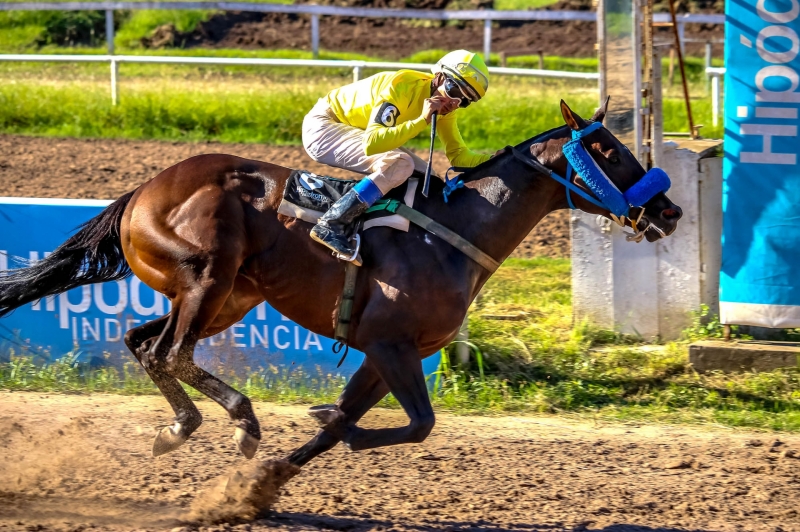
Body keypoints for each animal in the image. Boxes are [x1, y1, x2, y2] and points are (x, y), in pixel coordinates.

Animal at [0, 98, 680, 466]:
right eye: (610, 151)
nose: (669, 211)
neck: (452, 234)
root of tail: (142, 190)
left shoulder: (387, 354)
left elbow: (358, 427)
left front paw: (273, 477)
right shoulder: (390, 344)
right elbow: (419, 423)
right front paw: (325, 423)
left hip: (227, 295)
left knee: (145, 345)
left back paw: (180, 428)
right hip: (207, 277)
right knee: (170, 352)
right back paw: (241, 419)